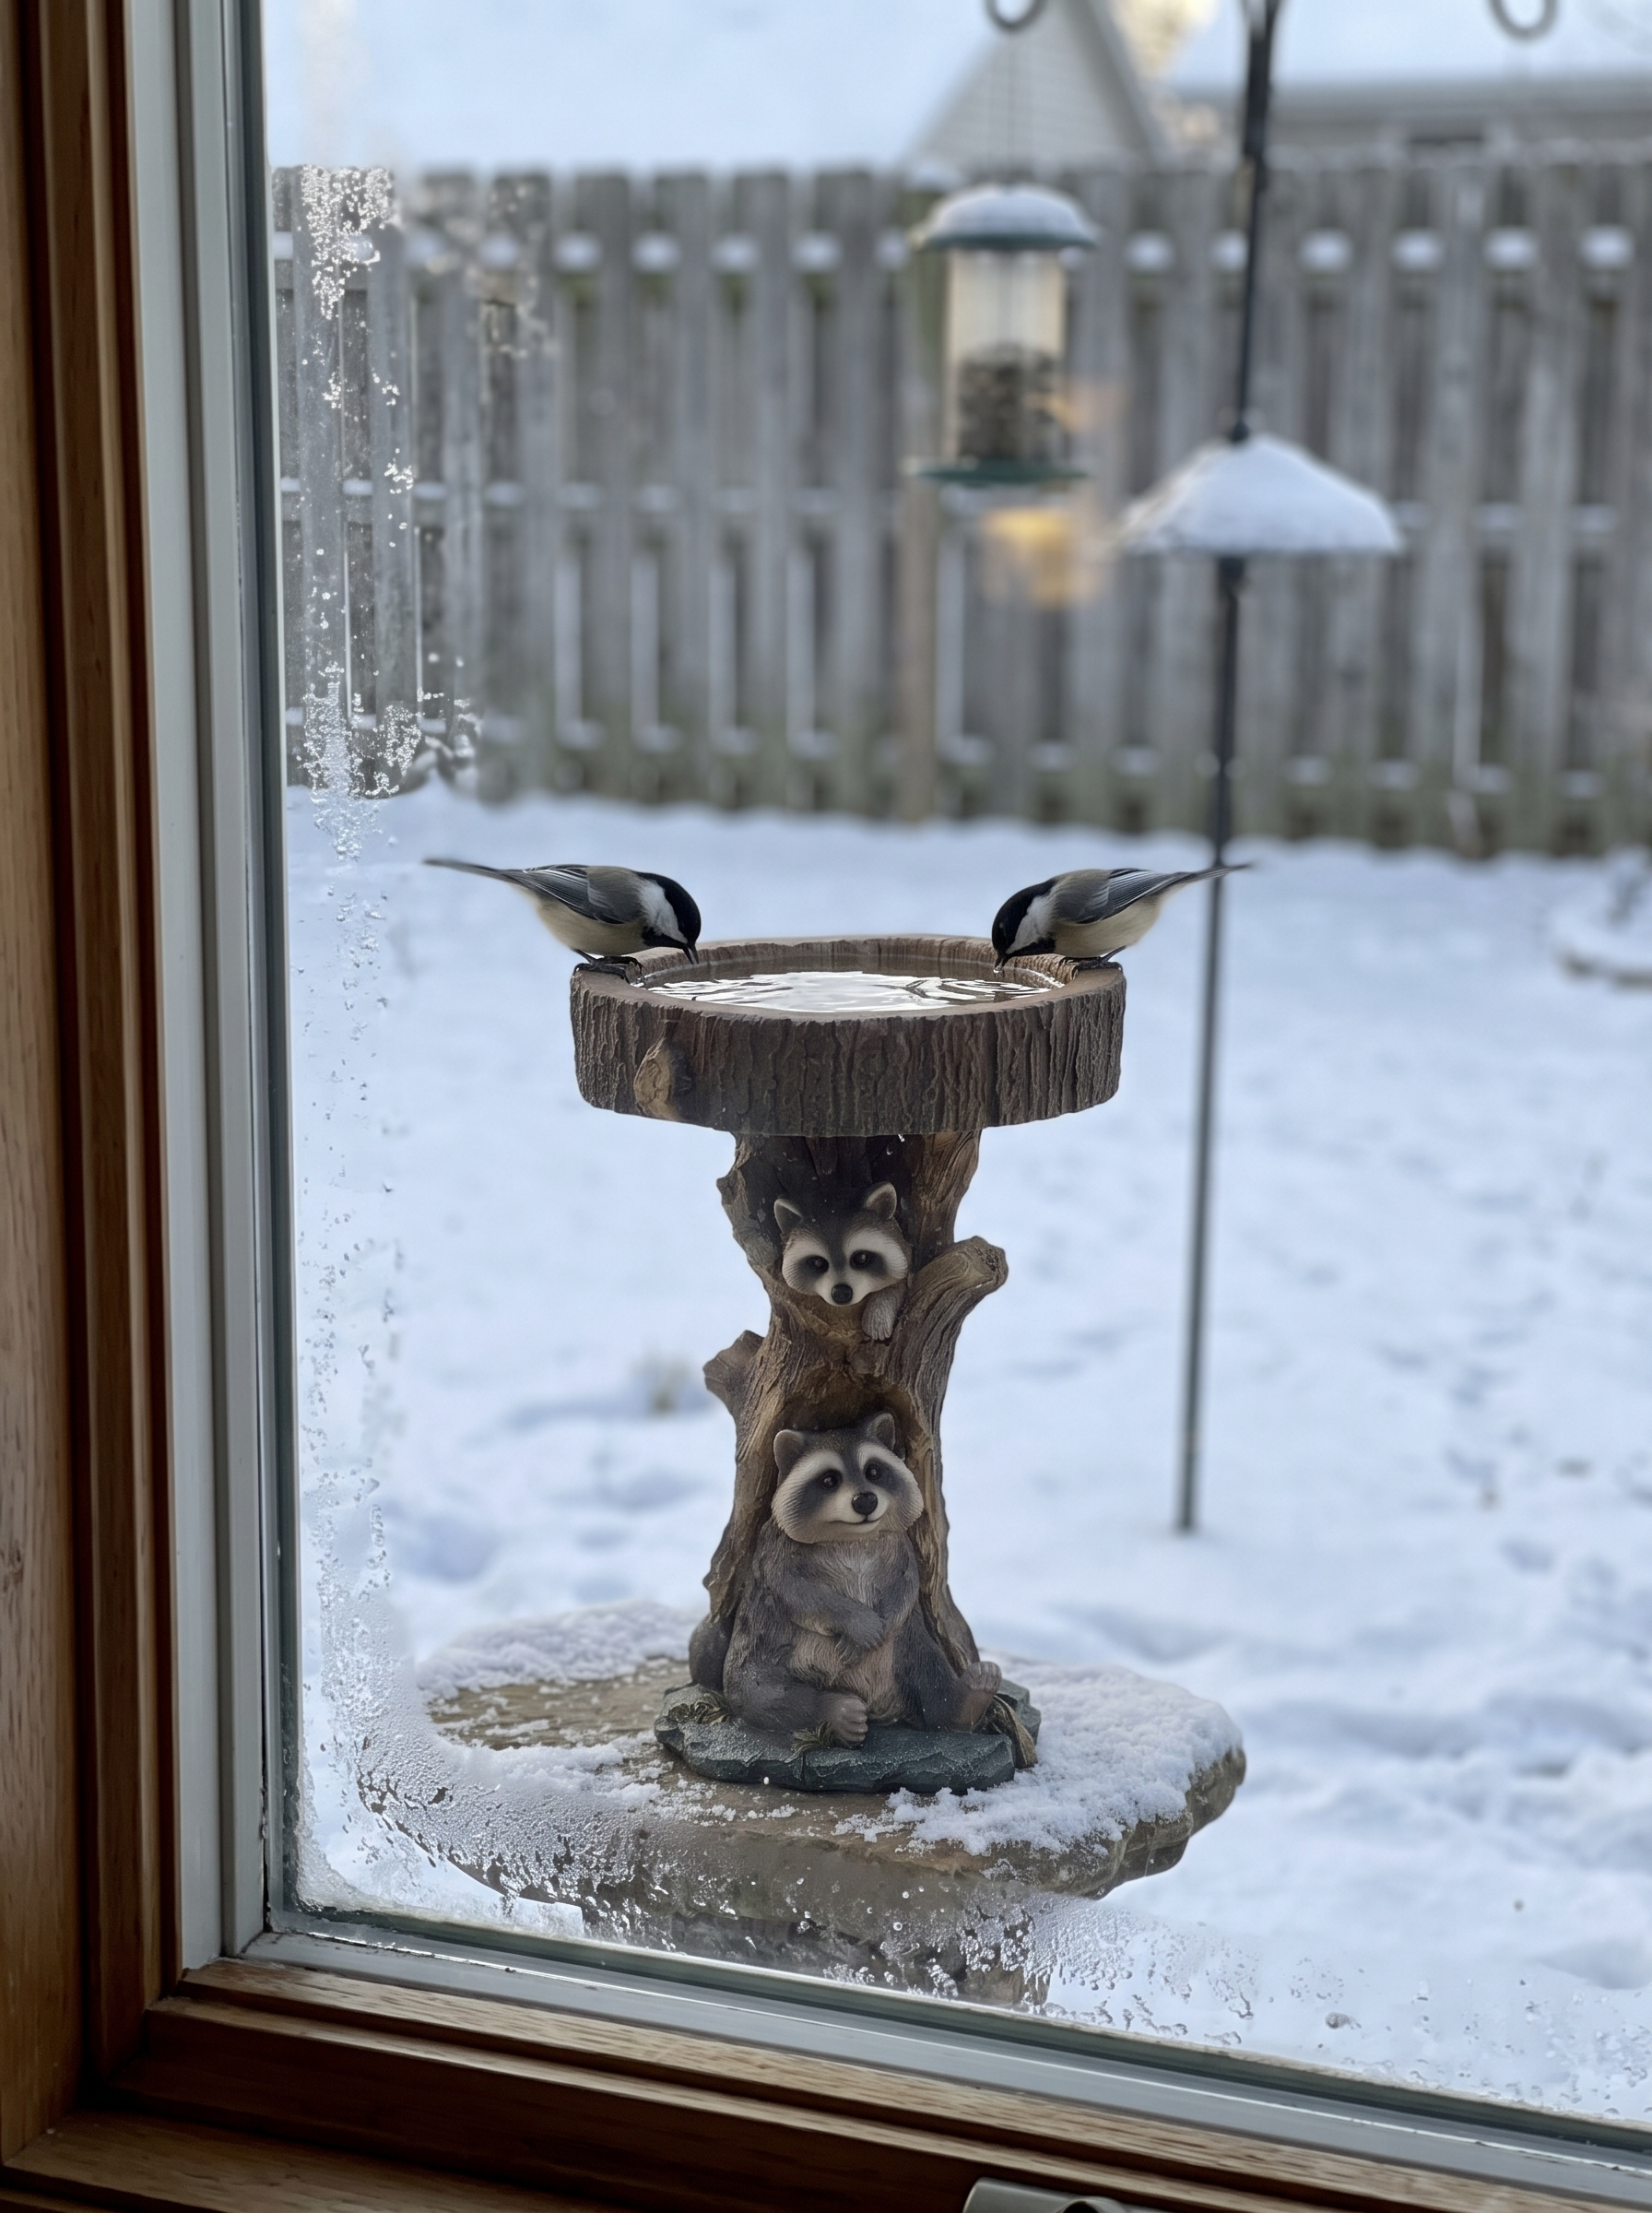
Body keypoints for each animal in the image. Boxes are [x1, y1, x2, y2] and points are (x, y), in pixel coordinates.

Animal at [721, 1412, 1001, 1747]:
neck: (851, 1537)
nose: (865, 1501)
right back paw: (834, 1711)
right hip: (759, 1653)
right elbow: (799, 1594)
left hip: (909, 1648)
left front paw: (883, 1620)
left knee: (931, 1674)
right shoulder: (774, 1549)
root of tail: (878, 1706)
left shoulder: (899, 1545)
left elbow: (906, 1587)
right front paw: (858, 1623)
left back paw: (968, 1700)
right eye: (829, 1480)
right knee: (760, 1694)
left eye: (874, 1471)